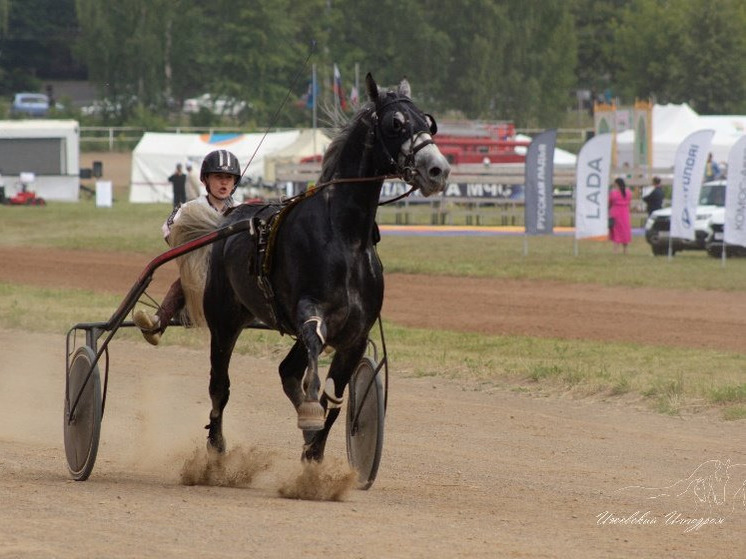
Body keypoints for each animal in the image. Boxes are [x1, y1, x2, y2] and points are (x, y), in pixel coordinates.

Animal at [182, 73, 448, 464]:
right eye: (396, 123)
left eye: (428, 122)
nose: (438, 169)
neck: (344, 237)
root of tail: (229, 217)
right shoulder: (311, 314)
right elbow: (312, 367)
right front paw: (310, 418)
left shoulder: (355, 335)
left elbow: (334, 398)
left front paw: (314, 451)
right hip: (224, 320)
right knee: (220, 385)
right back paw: (216, 446)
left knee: (285, 371)